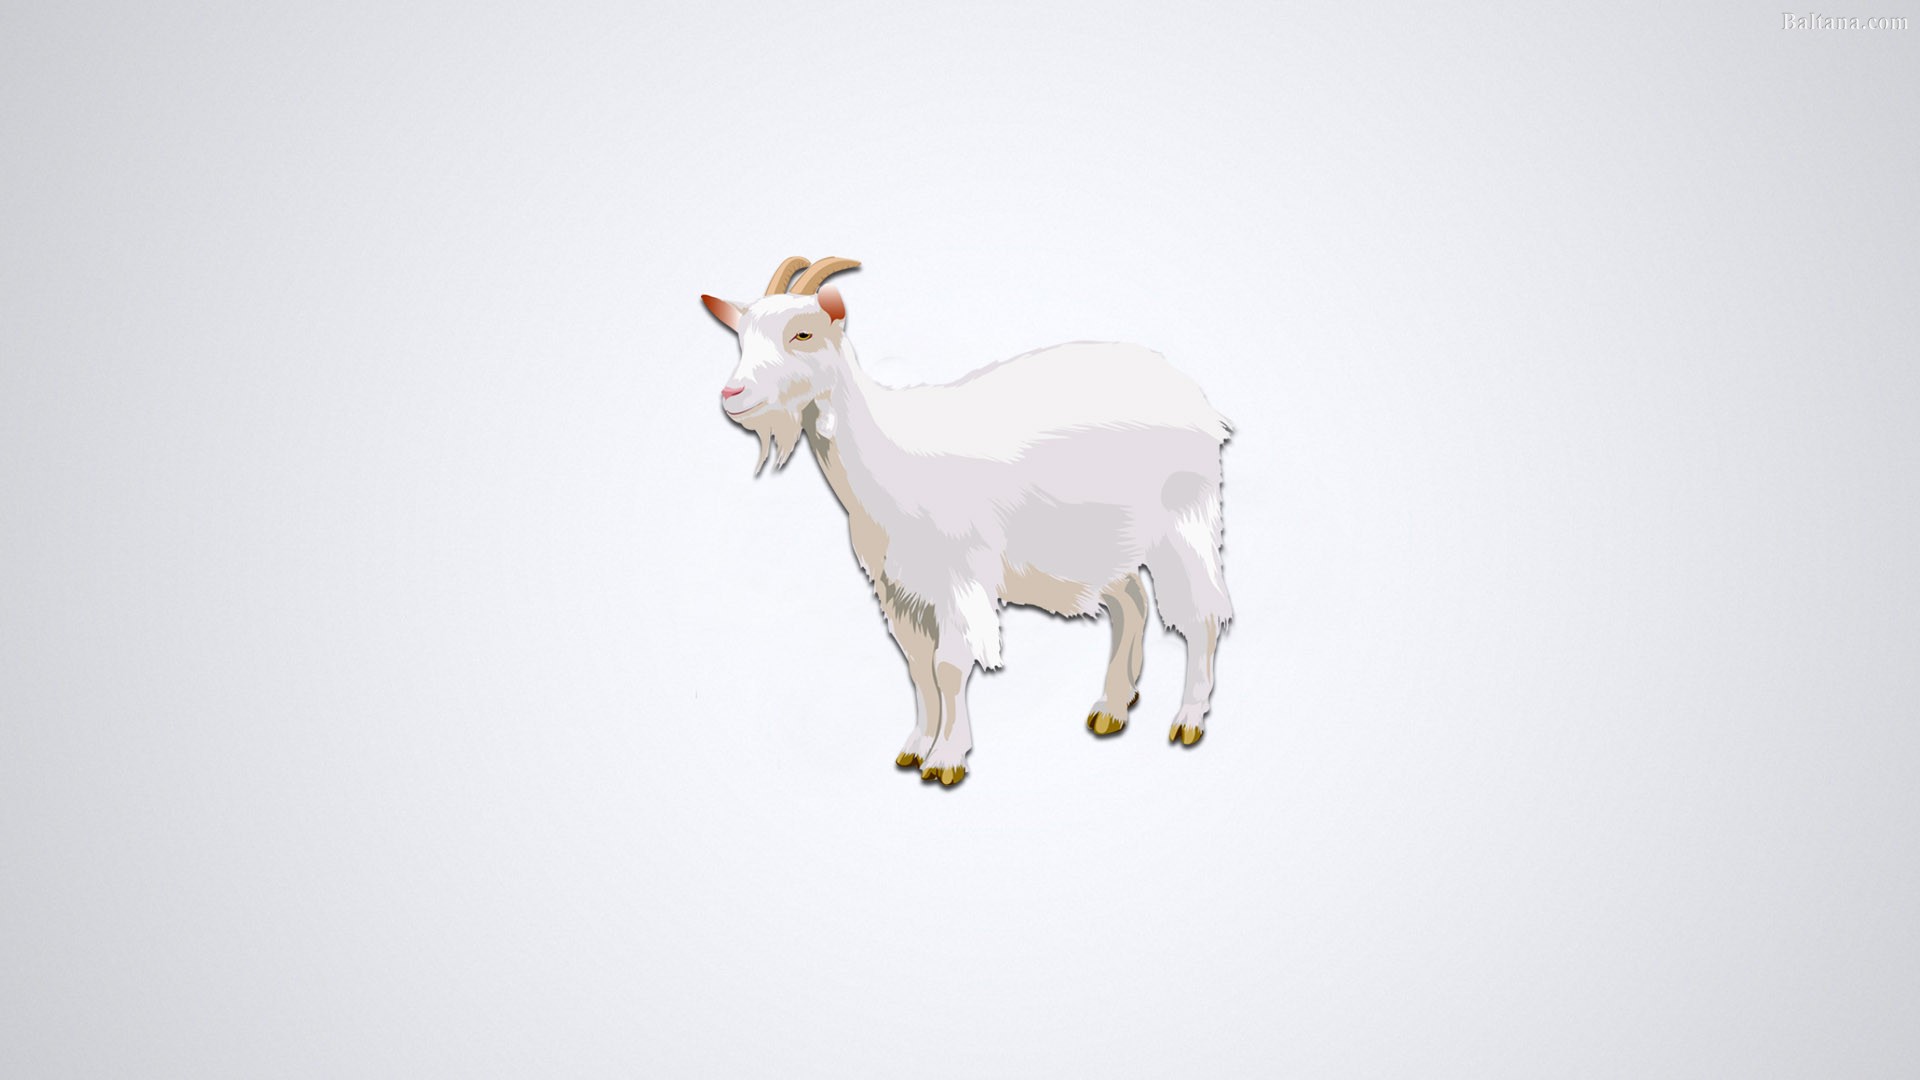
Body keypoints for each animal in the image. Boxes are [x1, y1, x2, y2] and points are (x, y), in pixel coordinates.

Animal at [701, 257, 1233, 786]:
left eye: (803, 333)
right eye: (741, 338)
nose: (732, 393)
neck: (886, 452)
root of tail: (1193, 393)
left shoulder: (958, 576)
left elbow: (950, 666)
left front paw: (946, 759)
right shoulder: (898, 588)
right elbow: (919, 668)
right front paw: (915, 747)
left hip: (1183, 519)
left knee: (1202, 612)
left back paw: (1188, 719)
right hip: (1102, 538)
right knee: (1132, 603)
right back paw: (1113, 708)